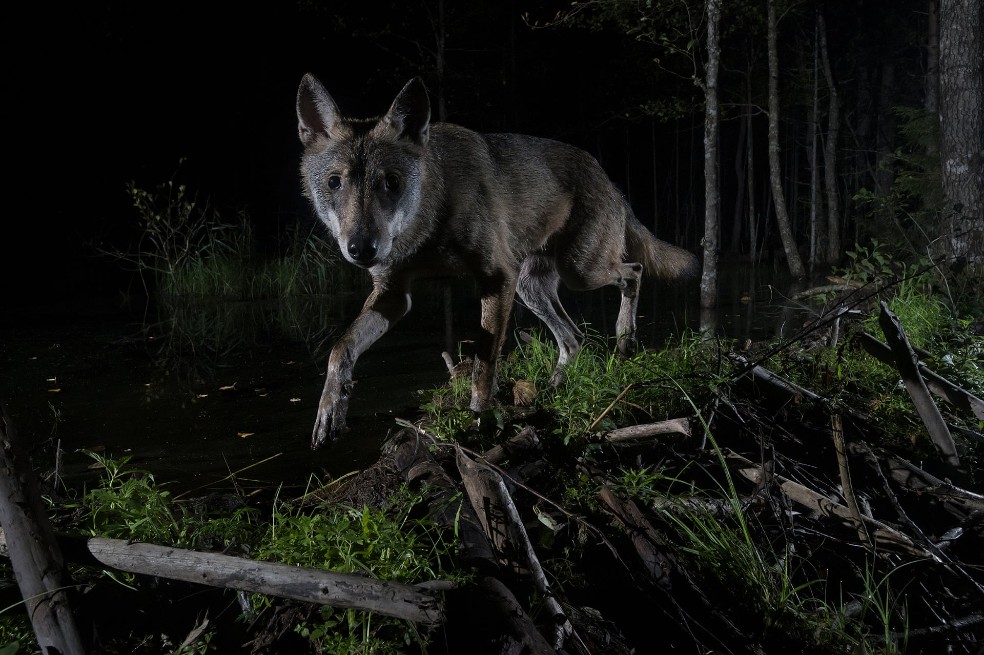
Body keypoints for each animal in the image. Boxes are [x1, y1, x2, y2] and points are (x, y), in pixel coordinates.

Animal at [297, 74, 700, 450]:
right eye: (334, 182)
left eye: (391, 182)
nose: (361, 249)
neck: (429, 224)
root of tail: (609, 179)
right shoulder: (394, 294)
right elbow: (340, 349)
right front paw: (330, 411)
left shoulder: (497, 277)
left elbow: (483, 362)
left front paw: (479, 420)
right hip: (532, 287)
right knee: (574, 337)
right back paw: (553, 389)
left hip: (579, 271)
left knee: (633, 272)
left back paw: (624, 339)